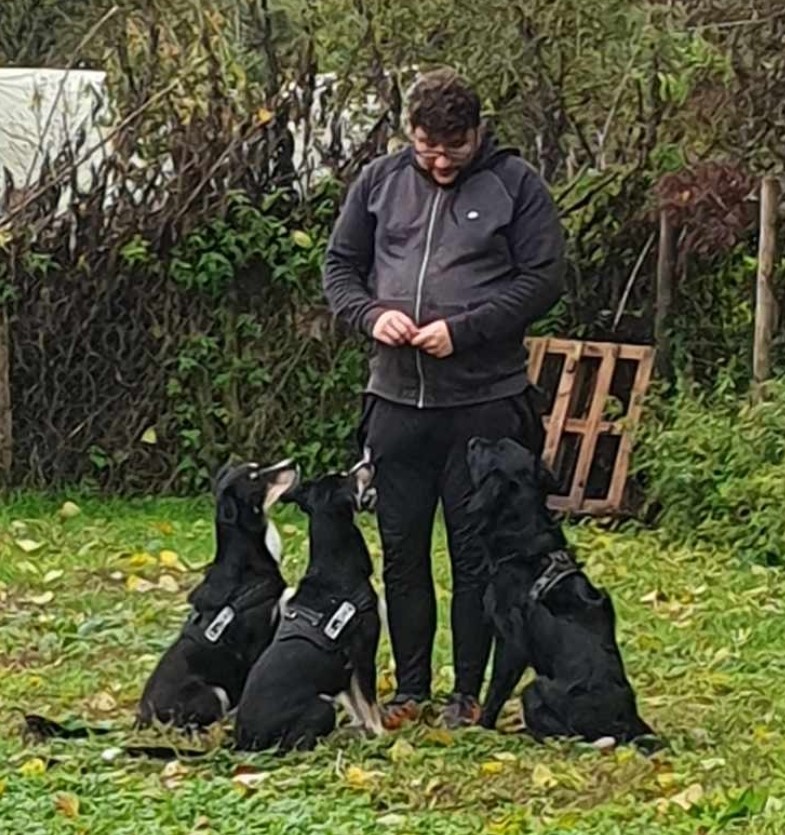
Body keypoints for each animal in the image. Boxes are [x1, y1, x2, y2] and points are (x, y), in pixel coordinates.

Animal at [234, 457, 383, 752]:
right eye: (347, 477)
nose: (367, 461)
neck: (336, 569)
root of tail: (244, 740)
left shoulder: (345, 669)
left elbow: (357, 704)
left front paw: (364, 730)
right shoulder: (363, 652)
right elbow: (368, 701)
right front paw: (382, 734)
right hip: (321, 706)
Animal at [466, 436, 655, 748]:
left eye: (494, 448)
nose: (473, 440)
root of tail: (626, 725)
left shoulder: (512, 643)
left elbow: (495, 692)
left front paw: (481, 727)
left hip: (534, 688)